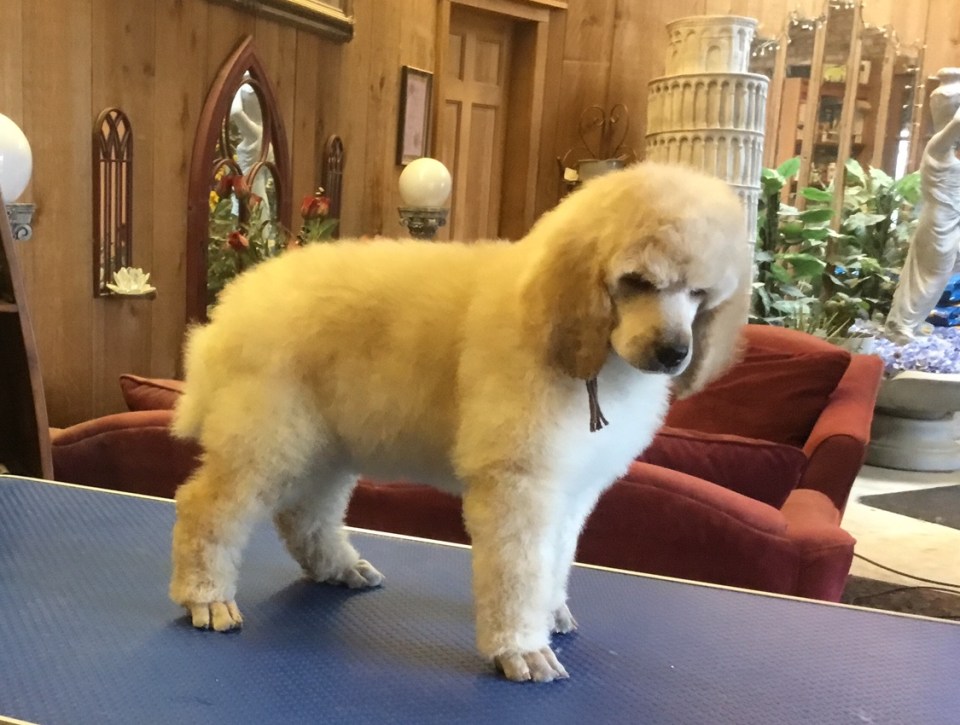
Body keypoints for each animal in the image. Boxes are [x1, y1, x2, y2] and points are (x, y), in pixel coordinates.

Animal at [169, 161, 751, 683]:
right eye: (635, 282)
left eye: (699, 293)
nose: (674, 353)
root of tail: (232, 305)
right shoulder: (519, 482)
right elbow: (520, 572)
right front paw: (521, 649)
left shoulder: (572, 487)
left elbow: (556, 559)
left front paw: (551, 613)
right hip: (270, 434)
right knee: (207, 507)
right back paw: (206, 596)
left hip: (328, 442)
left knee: (304, 514)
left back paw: (338, 567)